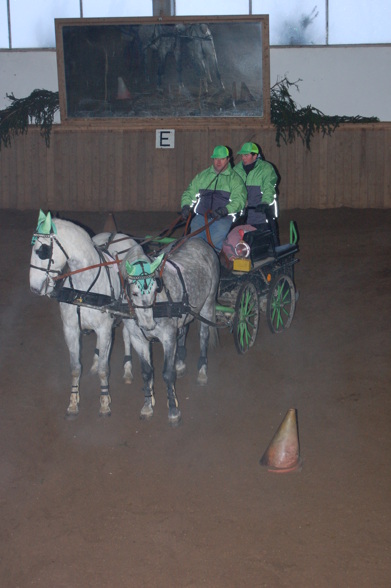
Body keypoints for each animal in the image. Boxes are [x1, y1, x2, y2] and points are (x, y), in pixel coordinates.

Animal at [28, 211, 135, 418]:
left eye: (43, 251)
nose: (34, 288)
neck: (83, 288)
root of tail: (118, 234)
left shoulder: (104, 329)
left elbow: (104, 370)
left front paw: (104, 403)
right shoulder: (70, 329)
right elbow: (76, 368)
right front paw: (73, 402)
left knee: (127, 335)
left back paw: (127, 369)